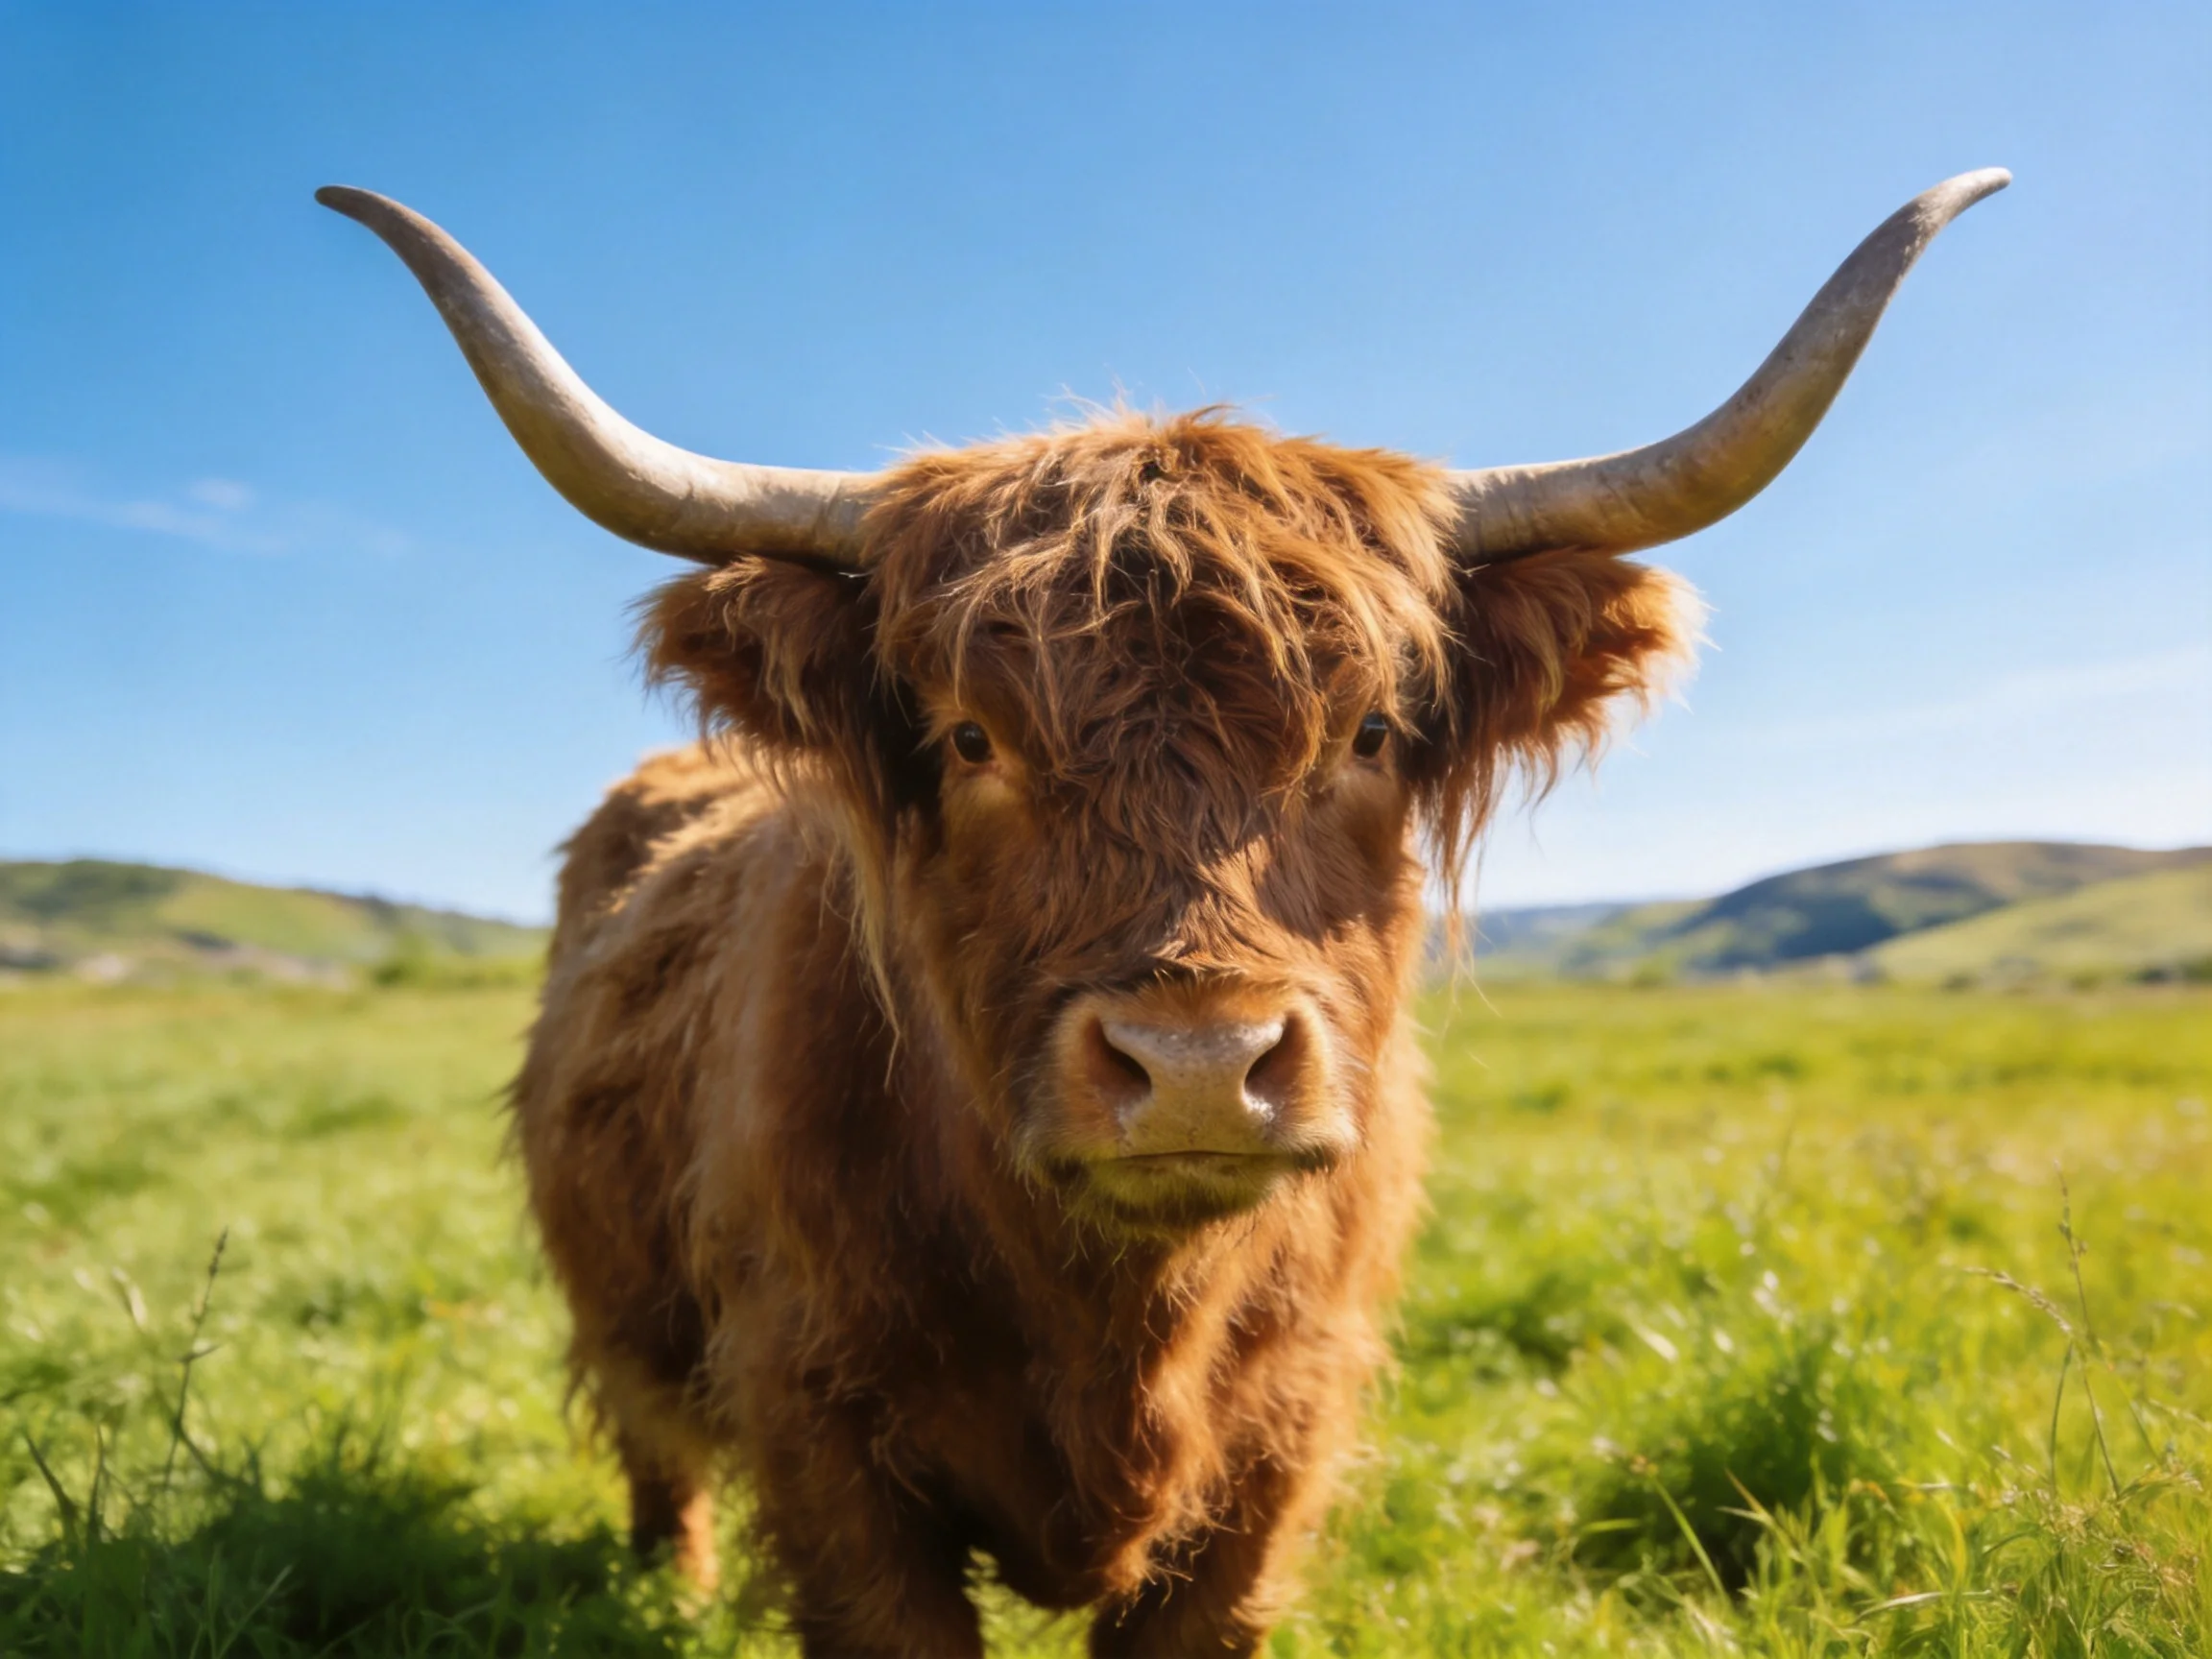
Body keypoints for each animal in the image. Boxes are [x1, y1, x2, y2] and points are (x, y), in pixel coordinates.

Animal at [320, 169, 2005, 1656]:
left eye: (1371, 733)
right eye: (970, 738)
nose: (1198, 1068)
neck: (1118, 1319)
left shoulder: (1281, 1443)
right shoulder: (817, 1421)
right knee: (652, 1447)